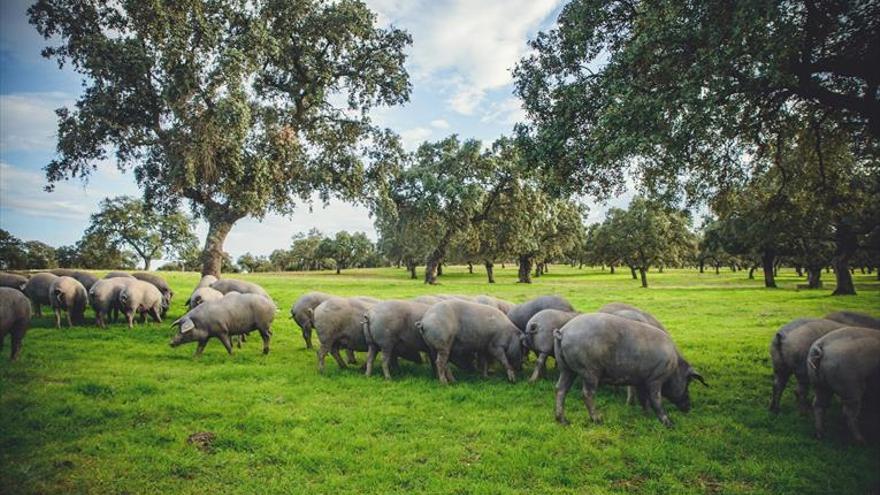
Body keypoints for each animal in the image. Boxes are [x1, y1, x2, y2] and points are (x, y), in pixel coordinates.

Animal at [552, 316, 704, 428]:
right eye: (688, 382)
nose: (689, 408)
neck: (674, 365)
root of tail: (563, 332)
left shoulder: (641, 381)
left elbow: (643, 399)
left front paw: (647, 415)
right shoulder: (656, 378)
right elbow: (656, 399)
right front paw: (669, 424)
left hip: (566, 368)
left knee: (560, 389)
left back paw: (563, 421)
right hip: (589, 370)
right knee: (587, 394)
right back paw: (598, 419)